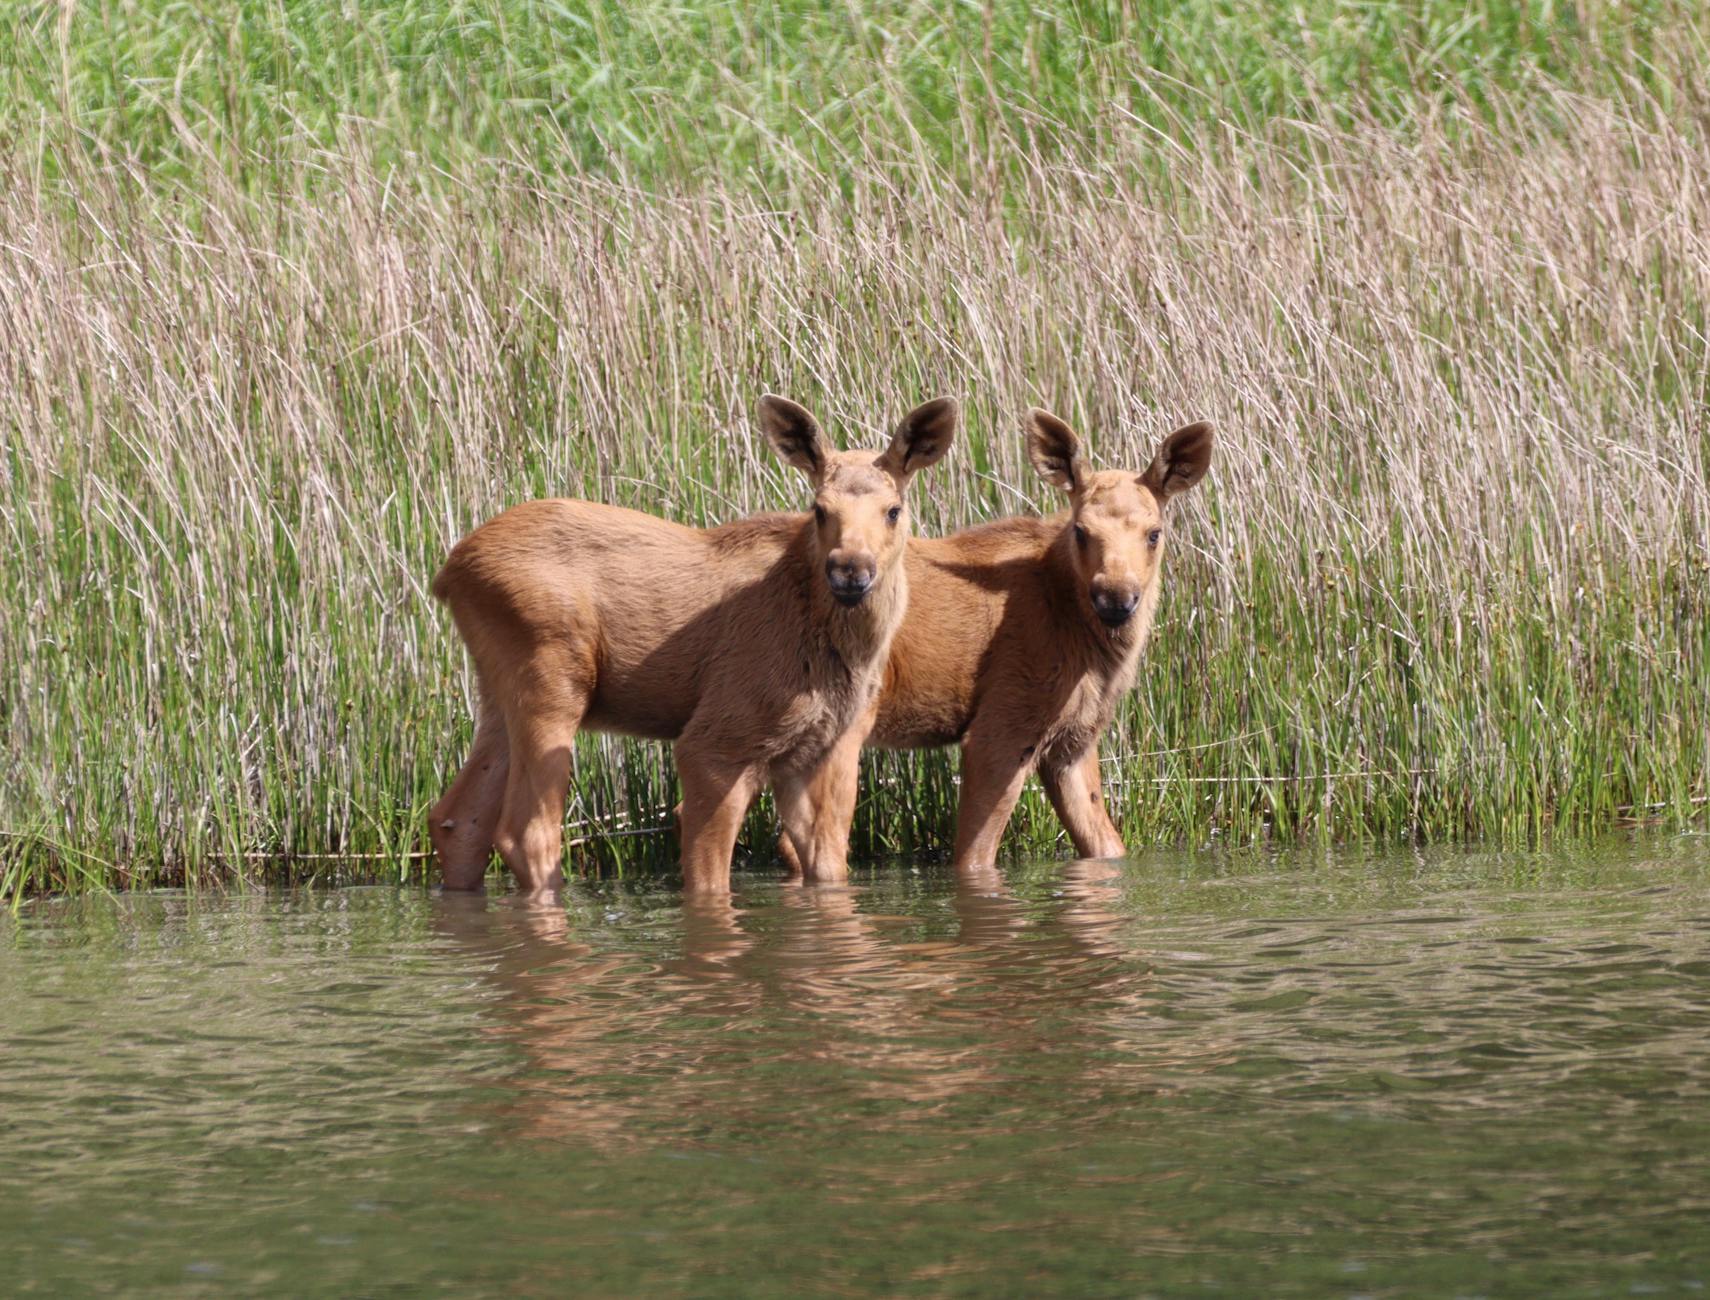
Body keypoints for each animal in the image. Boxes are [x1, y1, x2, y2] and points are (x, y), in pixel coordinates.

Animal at [429, 395, 957, 897]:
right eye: (819, 508)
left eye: (893, 510)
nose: (850, 570)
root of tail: (449, 572)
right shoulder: (714, 740)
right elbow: (708, 879)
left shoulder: (811, 752)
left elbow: (829, 871)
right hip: (552, 679)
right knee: (527, 831)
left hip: (498, 690)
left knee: (458, 818)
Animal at [779, 409, 1212, 881]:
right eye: (1081, 530)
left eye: (1154, 533)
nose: (1116, 597)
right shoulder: (1002, 726)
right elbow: (974, 858)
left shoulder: (1073, 740)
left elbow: (1108, 847)